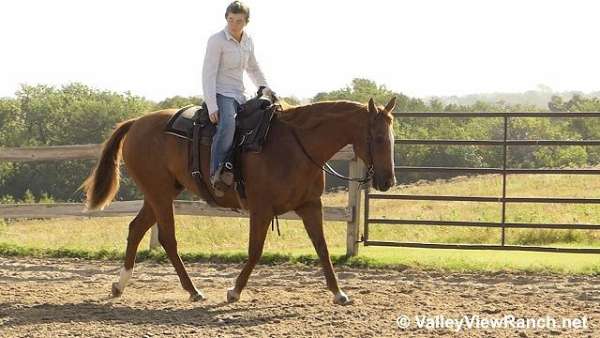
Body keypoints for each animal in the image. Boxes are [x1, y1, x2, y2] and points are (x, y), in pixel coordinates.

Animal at [81, 96, 398, 304]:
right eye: (379, 138)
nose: (387, 181)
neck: (296, 146)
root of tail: (137, 123)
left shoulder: (310, 206)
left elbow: (322, 248)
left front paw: (339, 293)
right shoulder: (261, 208)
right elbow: (255, 250)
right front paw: (234, 291)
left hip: (161, 193)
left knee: (136, 229)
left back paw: (120, 286)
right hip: (159, 194)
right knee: (167, 238)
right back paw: (193, 290)